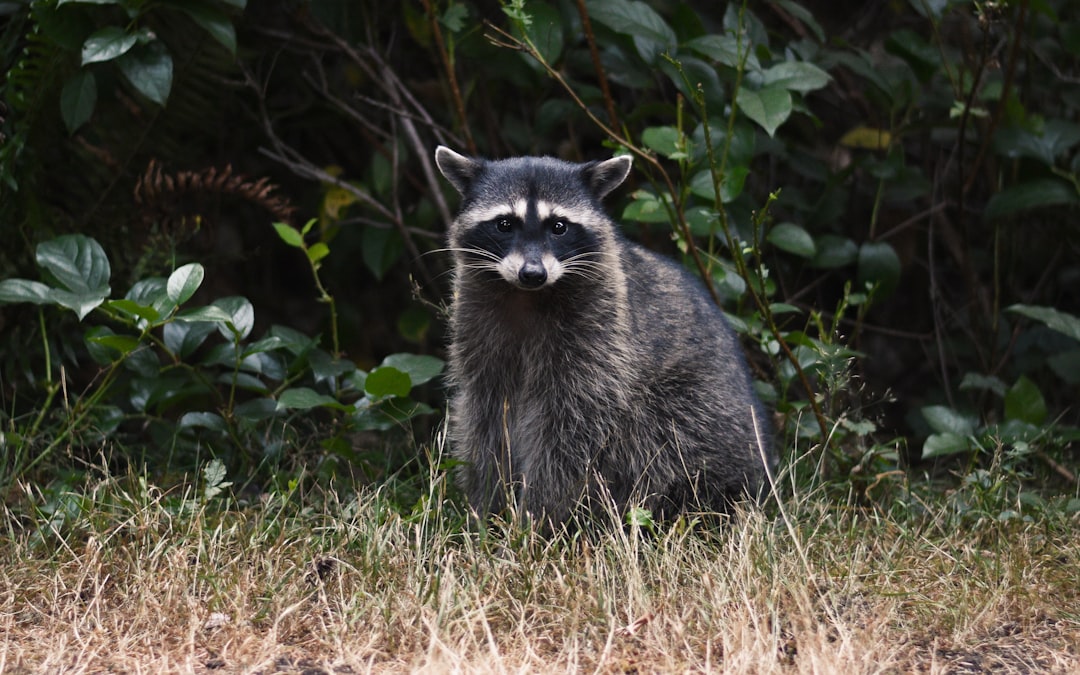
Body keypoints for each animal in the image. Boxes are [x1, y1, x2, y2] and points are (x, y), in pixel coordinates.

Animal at [434, 145, 773, 527]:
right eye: (504, 224)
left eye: (559, 226)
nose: (532, 273)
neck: (527, 295)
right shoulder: (478, 329)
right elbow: (487, 416)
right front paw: (487, 507)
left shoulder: (600, 339)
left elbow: (571, 428)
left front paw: (537, 516)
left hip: (704, 410)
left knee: (660, 432)